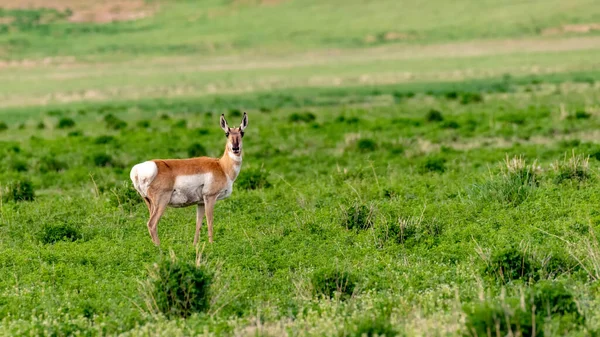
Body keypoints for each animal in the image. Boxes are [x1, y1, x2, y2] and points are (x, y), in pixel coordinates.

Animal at [130, 112, 247, 244]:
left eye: (242, 132)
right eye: (227, 133)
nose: (235, 148)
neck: (221, 166)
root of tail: (138, 169)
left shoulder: (200, 203)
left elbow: (198, 224)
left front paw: (195, 245)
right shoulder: (210, 198)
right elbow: (210, 222)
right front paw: (211, 244)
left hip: (149, 203)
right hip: (161, 202)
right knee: (152, 224)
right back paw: (159, 247)